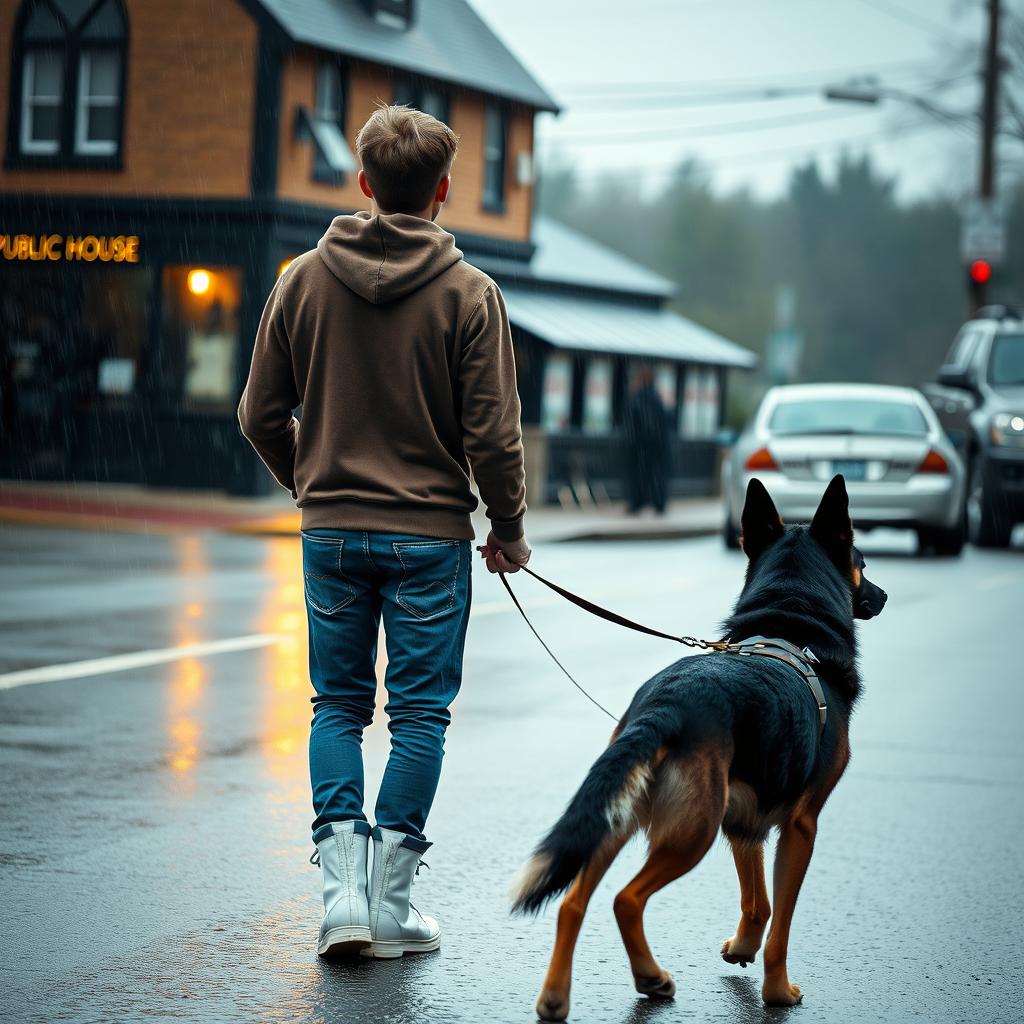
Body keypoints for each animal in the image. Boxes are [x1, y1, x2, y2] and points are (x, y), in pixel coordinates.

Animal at [512, 475, 888, 1019]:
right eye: (862, 562)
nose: (883, 595)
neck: (790, 624)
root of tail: (666, 707)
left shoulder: (745, 821)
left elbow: (758, 902)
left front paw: (743, 947)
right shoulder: (801, 827)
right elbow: (781, 923)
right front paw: (777, 993)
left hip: (616, 819)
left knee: (572, 901)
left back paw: (558, 997)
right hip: (693, 832)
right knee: (625, 900)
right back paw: (649, 976)